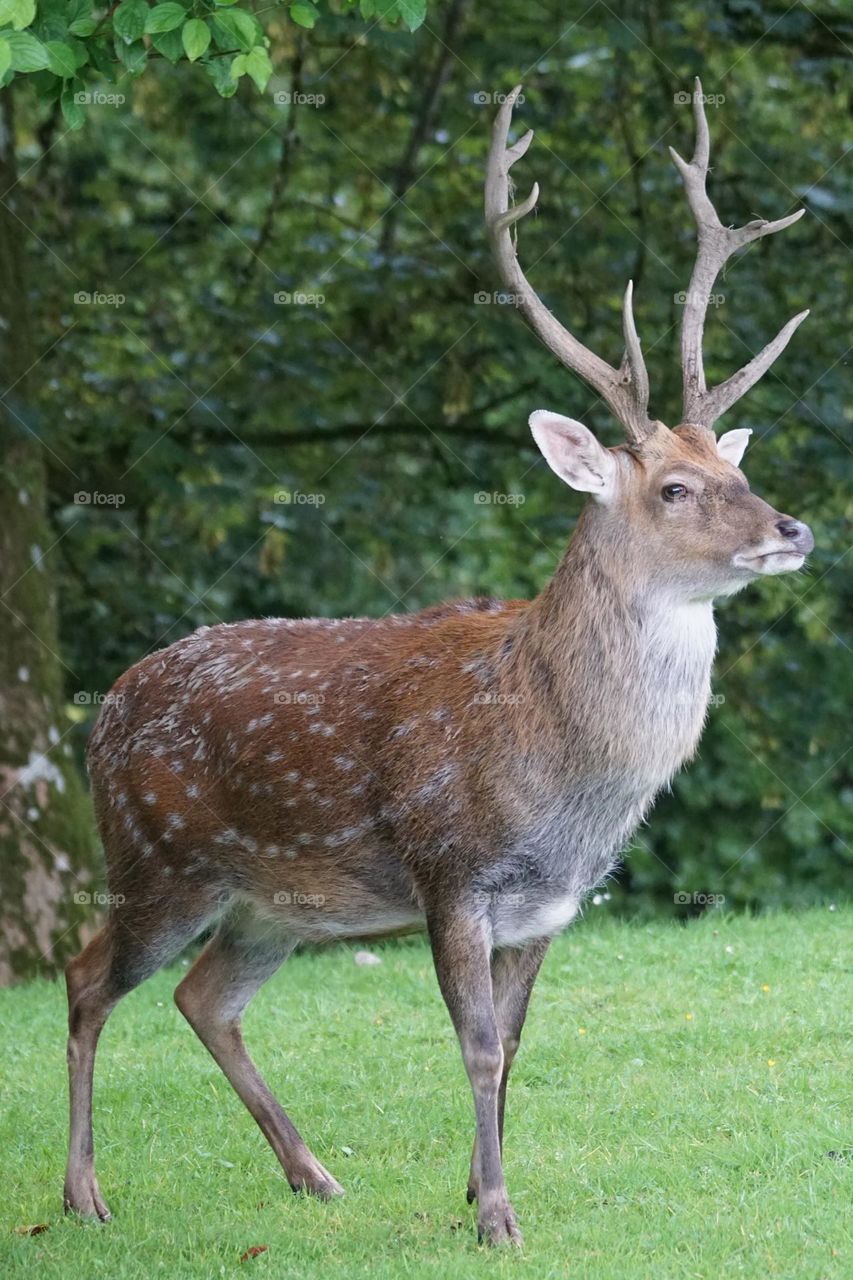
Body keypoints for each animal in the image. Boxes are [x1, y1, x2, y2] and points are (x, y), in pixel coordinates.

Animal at [64, 81, 813, 1247]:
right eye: (674, 488)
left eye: (735, 468)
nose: (793, 529)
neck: (560, 776)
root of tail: (101, 715)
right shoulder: (448, 872)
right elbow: (475, 1044)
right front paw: (496, 1214)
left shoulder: (553, 906)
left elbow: (515, 1043)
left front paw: (475, 1188)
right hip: (157, 858)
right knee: (86, 975)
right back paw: (83, 1193)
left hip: (274, 902)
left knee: (203, 997)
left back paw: (313, 1173)